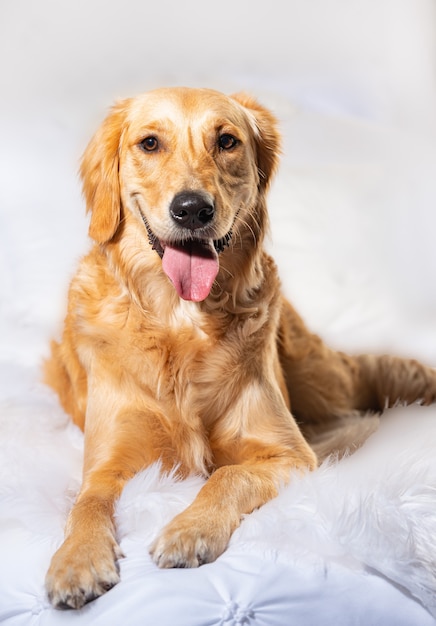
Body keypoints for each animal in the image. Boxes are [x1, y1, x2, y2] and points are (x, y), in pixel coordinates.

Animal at [43, 86, 436, 604]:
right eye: (149, 143)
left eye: (226, 141)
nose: (192, 209)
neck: (181, 321)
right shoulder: (107, 466)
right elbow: (84, 506)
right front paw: (76, 561)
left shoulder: (289, 455)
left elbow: (228, 475)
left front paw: (190, 530)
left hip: (325, 382)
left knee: (372, 372)